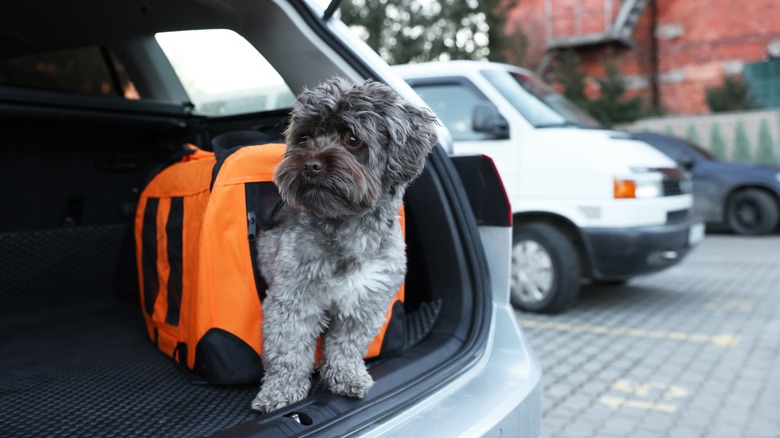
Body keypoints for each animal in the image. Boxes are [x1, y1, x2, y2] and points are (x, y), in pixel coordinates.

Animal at [250, 77, 438, 412]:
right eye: (305, 137)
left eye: (352, 139)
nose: (310, 164)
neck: (349, 226)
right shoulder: (294, 298)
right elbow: (288, 350)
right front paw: (281, 393)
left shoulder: (366, 301)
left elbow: (346, 345)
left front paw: (345, 377)